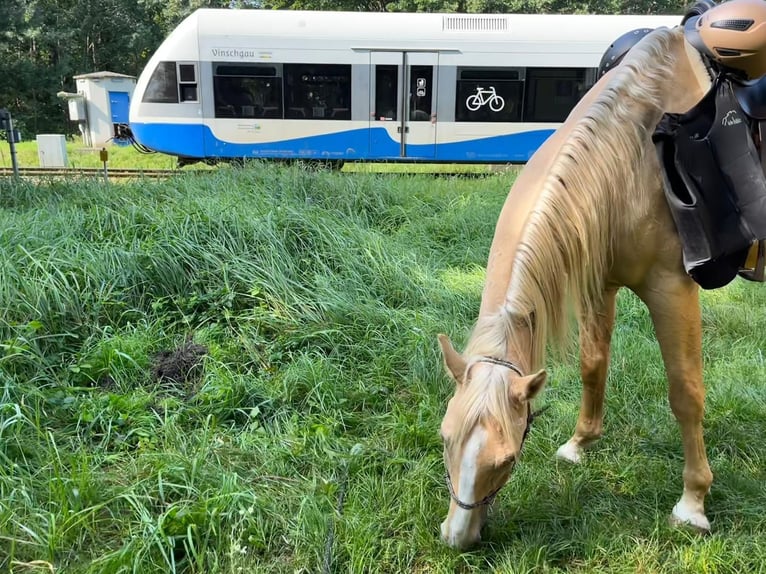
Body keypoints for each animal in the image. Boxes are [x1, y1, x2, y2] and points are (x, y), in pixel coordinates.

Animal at [438, 24, 720, 552]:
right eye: (445, 438)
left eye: (507, 459)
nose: (458, 537)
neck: (631, 161)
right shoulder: (599, 284)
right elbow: (593, 365)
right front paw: (578, 444)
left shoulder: (671, 287)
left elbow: (685, 391)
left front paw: (693, 504)